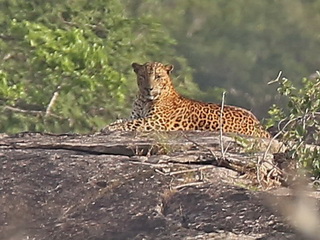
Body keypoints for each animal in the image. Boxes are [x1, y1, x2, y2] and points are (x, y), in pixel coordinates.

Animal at [102, 61, 270, 138]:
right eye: (142, 76)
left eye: (158, 76)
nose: (148, 88)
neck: (144, 99)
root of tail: (261, 127)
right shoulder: (137, 116)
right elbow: (123, 120)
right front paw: (109, 126)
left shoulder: (156, 121)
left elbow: (130, 124)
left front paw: (109, 129)